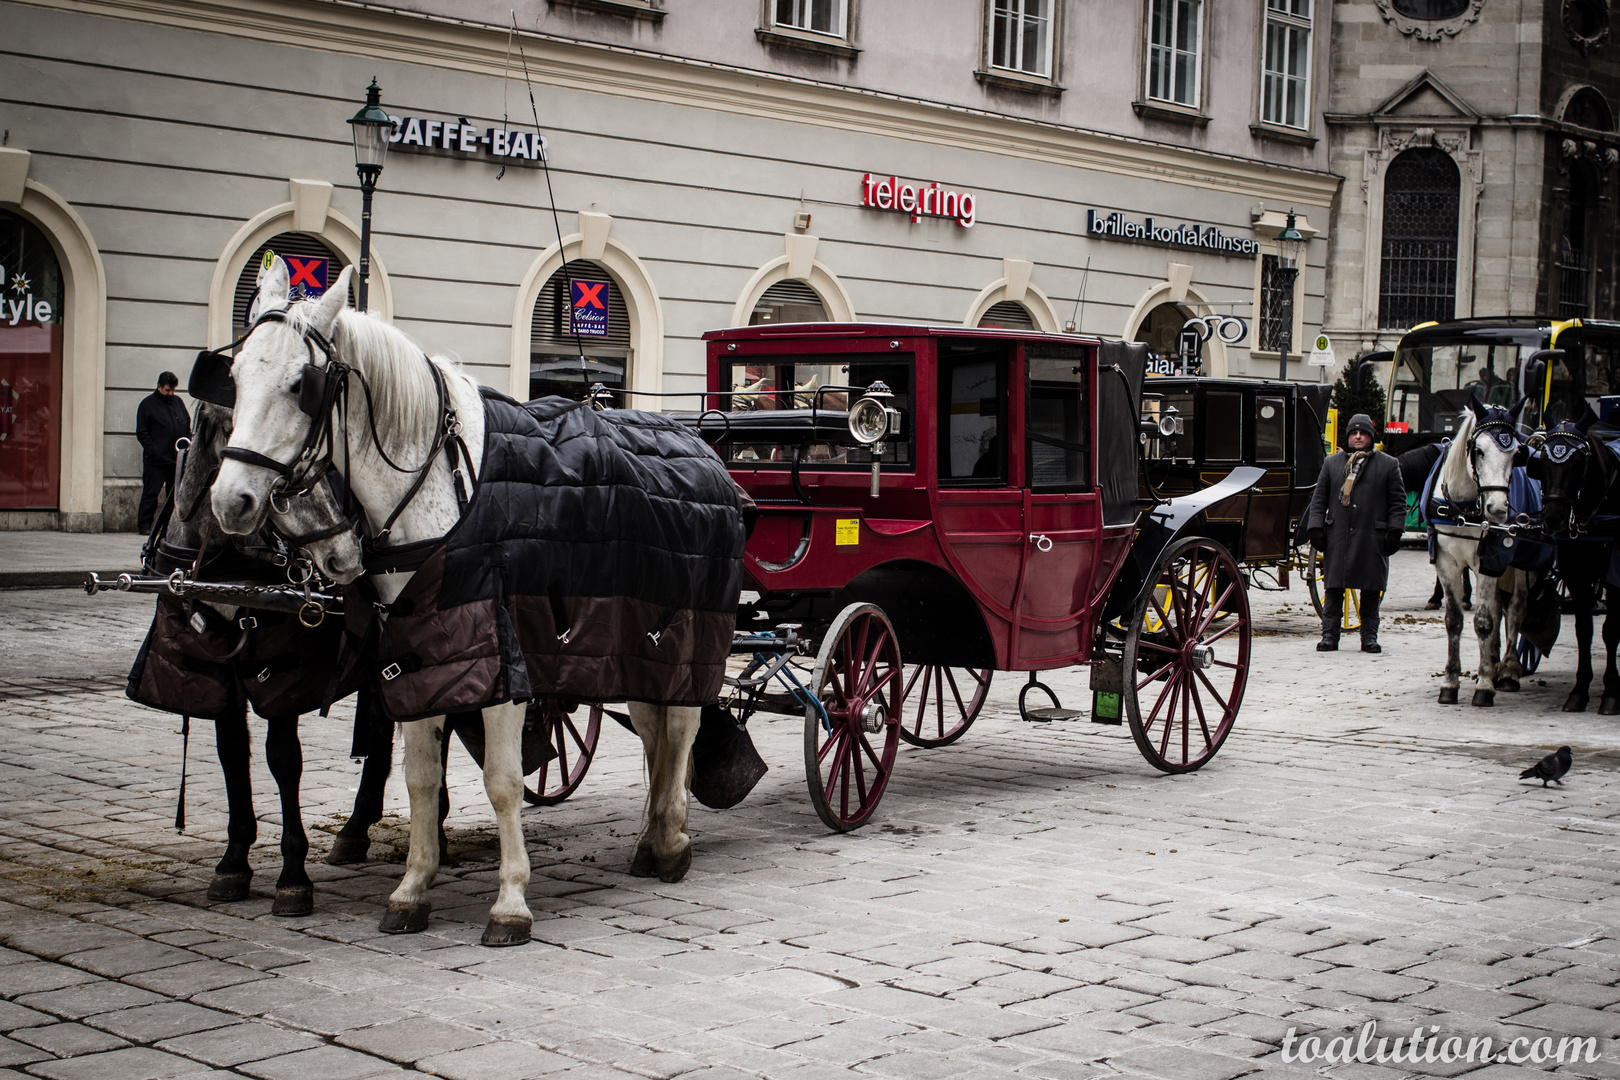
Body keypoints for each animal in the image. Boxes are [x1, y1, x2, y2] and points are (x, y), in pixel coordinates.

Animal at [204, 259, 709, 945]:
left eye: (300, 386)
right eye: (232, 378)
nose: (231, 502)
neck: (444, 484)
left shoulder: (505, 665)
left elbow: (503, 781)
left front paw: (511, 899)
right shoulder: (420, 655)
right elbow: (419, 777)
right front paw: (413, 888)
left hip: (679, 632)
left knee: (680, 725)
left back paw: (674, 839)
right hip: (630, 642)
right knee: (654, 726)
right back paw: (651, 837)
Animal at [1432, 401, 1529, 705]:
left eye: (1516, 454)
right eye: (1479, 450)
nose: (1497, 509)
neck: (1465, 511)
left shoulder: (1488, 561)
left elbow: (1484, 622)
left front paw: (1484, 686)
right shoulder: (1446, 562)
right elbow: (1454, 621)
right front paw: (1450, 682)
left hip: (1522, 563)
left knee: (1516, 606)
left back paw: (1508, 669)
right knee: (1499, 608)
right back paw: (1495, 663)